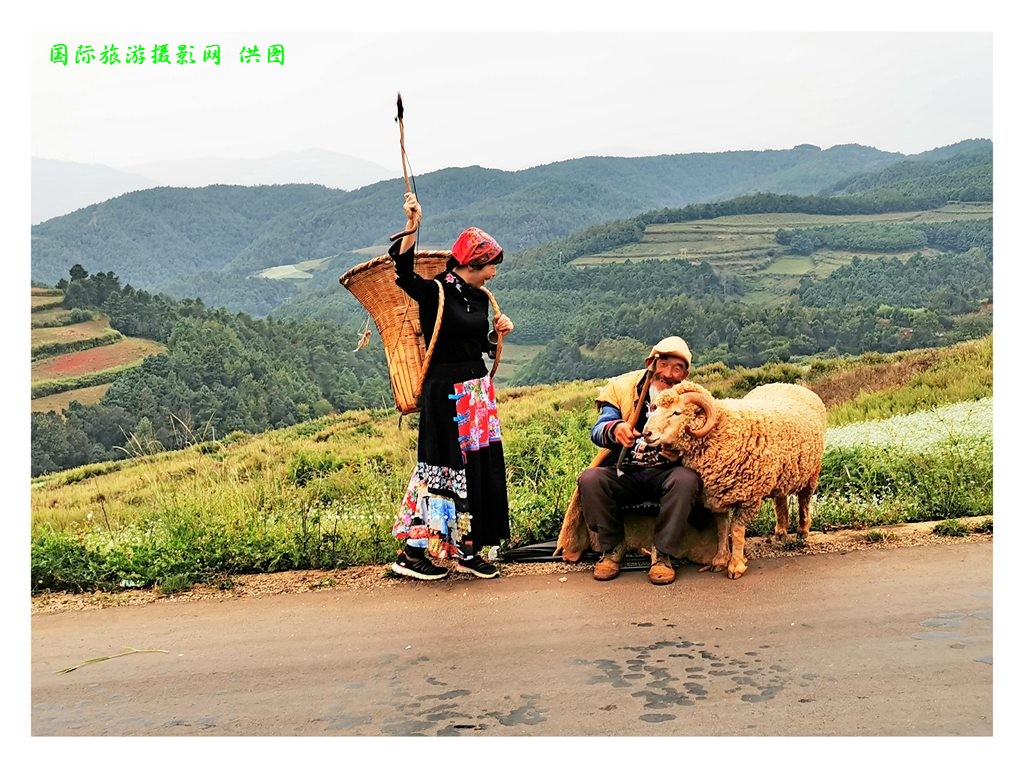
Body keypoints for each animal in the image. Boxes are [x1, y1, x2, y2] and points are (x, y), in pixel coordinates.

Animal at [641, 380, 827, 579]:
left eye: (677, 412)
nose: (646, 433)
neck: (721, 430)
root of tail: (791, 385)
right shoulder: (717, 496)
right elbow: (722, 530)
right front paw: (720, 560)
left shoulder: (748, 498)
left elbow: (736, 531)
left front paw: (736, 565)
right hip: (781, 473)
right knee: (781, 499)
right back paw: (781, 532)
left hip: (812, 471)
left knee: (804, 501)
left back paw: (802, 531)